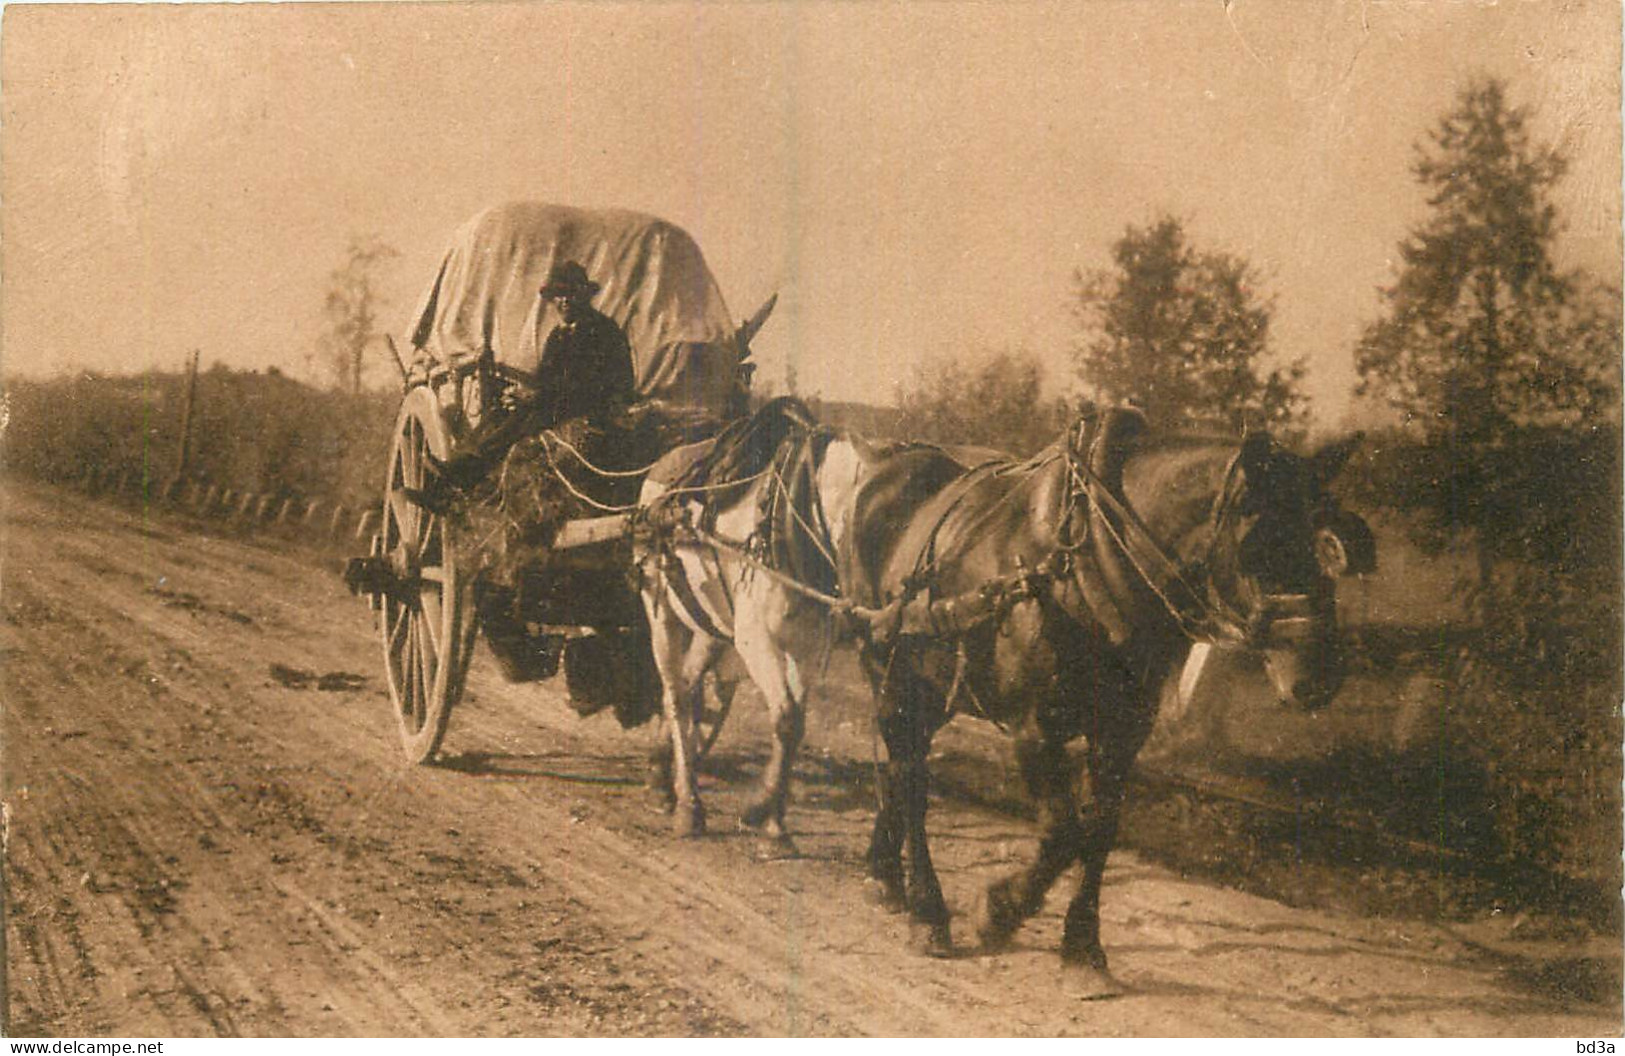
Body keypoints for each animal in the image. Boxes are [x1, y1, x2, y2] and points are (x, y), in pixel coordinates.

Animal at [838, 407, 1371, 994]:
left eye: (1325, 543)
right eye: (1257, 546)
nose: (1318, 675)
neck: (1085, 561)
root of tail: (883, 464)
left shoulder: (1123, 732)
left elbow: (1098, 832)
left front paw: (1082, 948)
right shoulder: (1034, 729)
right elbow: (1061, 832)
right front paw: (998, 911)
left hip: (929, 680)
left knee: (897, 768)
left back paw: (885, 875)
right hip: (888, 668)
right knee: (910, 778)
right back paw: (927, 911)